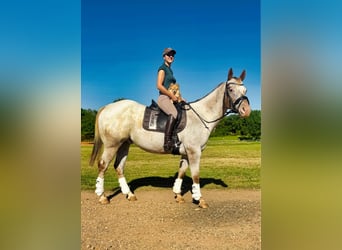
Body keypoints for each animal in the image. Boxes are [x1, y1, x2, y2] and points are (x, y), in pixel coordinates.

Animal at [89, 67, 251, 208]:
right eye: (231, 90)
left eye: (245, 90)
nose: (246, 110)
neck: (200, 116)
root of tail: (108, 107)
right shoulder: (194, 152)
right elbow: (196, 175)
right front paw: (199, 199)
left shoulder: (186, 153)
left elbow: (181, 172)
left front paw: (178, 195)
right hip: (112, 145)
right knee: (103, 165)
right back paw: (102, 196)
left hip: (124, 144)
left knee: (119, 166)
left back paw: (129, 194)